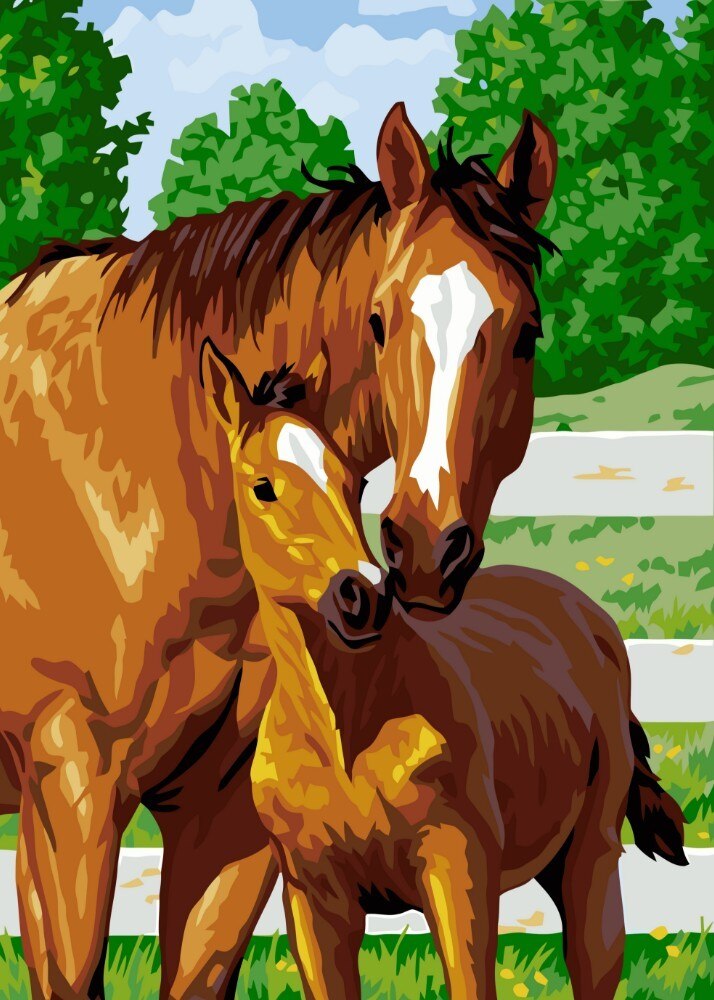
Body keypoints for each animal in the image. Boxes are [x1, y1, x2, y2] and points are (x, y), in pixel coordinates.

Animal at [200, 343, 687, 1000]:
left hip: (591, 860)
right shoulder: (312, 901)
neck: (346, 730)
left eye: (356, 482)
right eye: (263, 487)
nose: (361, 598)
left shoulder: (459, 878)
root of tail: (589, 617)